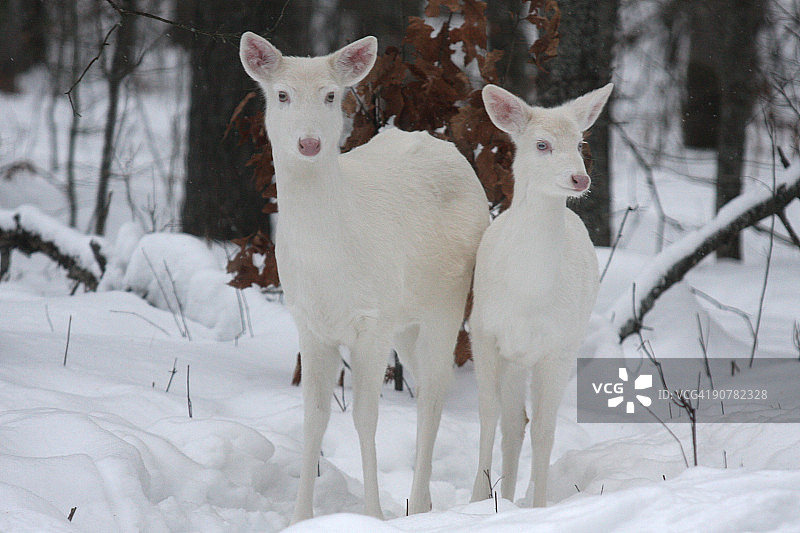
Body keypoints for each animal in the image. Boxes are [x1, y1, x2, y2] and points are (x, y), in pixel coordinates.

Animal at [239, 33, 490, 522]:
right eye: (282, 95)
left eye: (330, 95)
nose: (310, 142)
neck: (328, 265)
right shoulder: (309, 324)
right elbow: (314, 416)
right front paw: (300, 517)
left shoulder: (371, 321)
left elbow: (365, 417)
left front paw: (372, 514)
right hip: (407, 319)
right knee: (428, 388)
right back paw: (426, 503)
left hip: (447, 301)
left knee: (434, 392)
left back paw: (425, 503)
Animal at [469, 82, 613, 508]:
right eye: (542, 144)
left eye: (580, 142)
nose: (580, 179)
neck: (528, 293)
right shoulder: (483, 332)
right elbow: (488, 415)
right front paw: (476, 500)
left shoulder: (559, 347)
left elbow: (545, 430)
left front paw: (538, 506)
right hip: (513, 356)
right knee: (511, 424)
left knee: (522, 425)